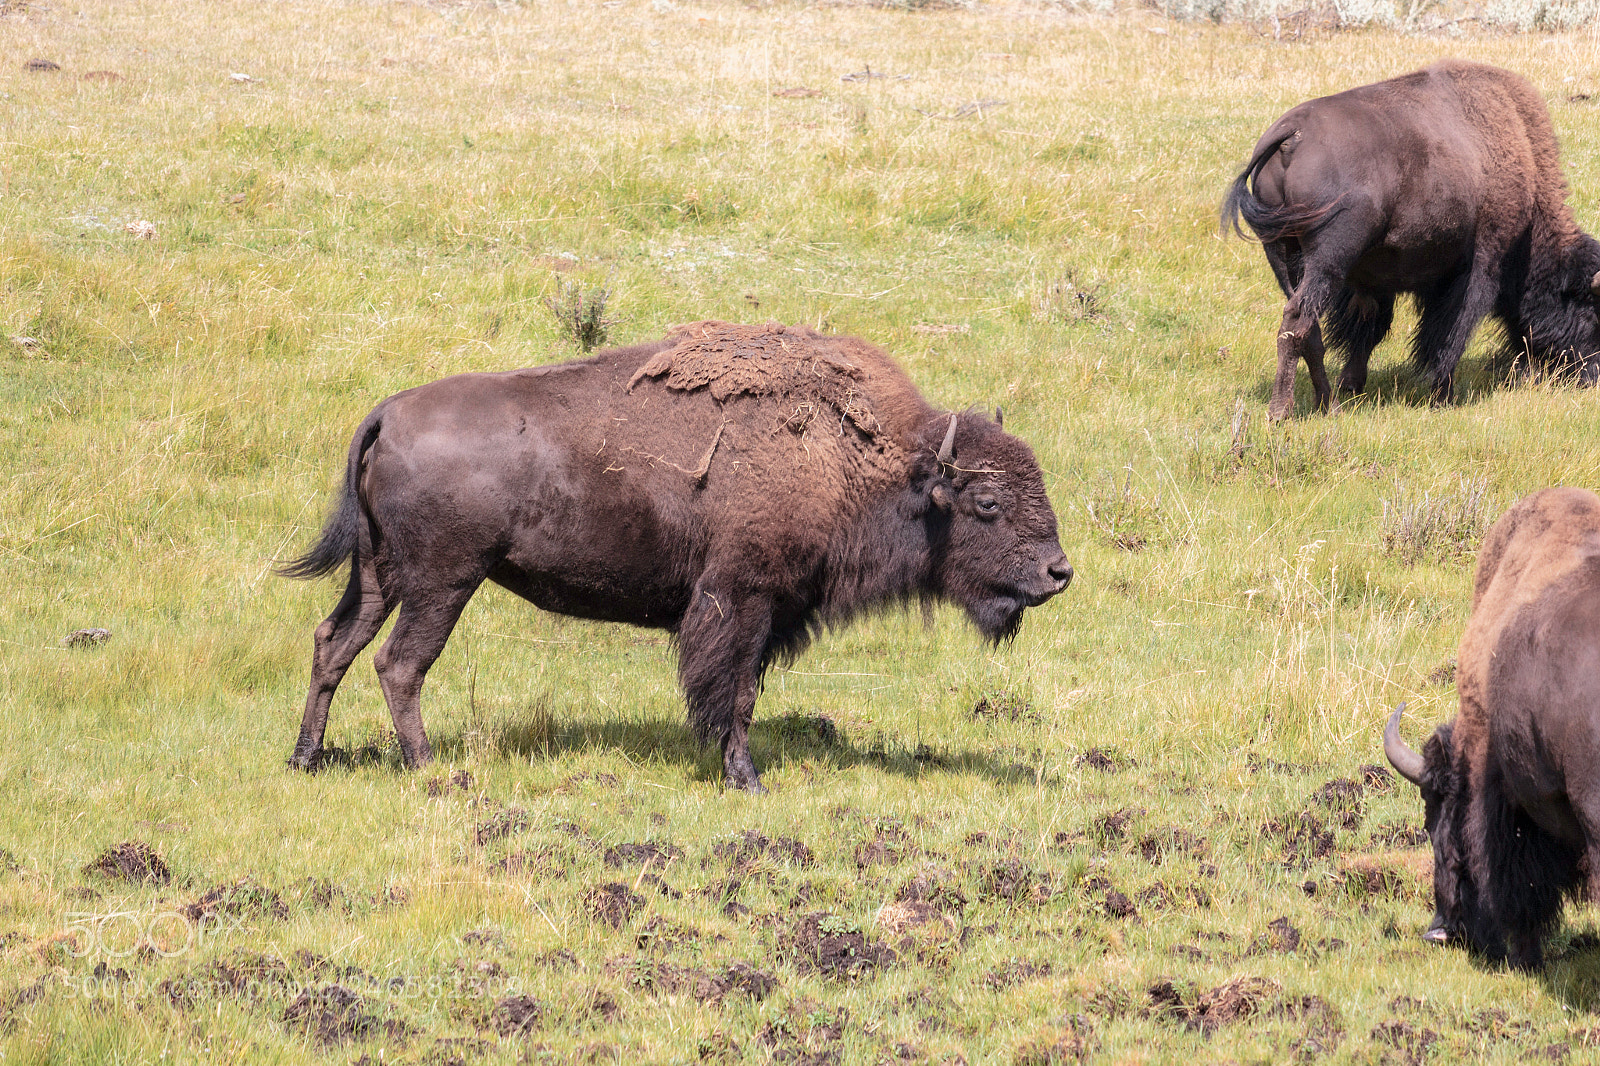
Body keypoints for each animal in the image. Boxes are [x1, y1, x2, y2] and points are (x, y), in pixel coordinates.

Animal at [280, 321, 1073, 792]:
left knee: (334, 643)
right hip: (443, 581)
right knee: (399, 663)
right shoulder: (743, 601)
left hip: (380, 576)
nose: (1058, 572)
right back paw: (430, 769)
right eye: (987, 503)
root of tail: (390, 412)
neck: (867, 461)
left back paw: (305, 759)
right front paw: (746, 778)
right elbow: (736, 694)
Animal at [1223, 60, 1600, 420]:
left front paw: (1353, 385)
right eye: (1591, 309)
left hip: (1282, 253)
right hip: (1327, 258)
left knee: (1308, 326)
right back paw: (1280, 412)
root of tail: (1292, 133)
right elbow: (1450, 332)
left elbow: (1371, 328)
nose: (1591, 375)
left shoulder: (1374, 279)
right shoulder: (1478, 266)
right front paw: (1442, 395)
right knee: (1298, 319)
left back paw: (1330, 404)